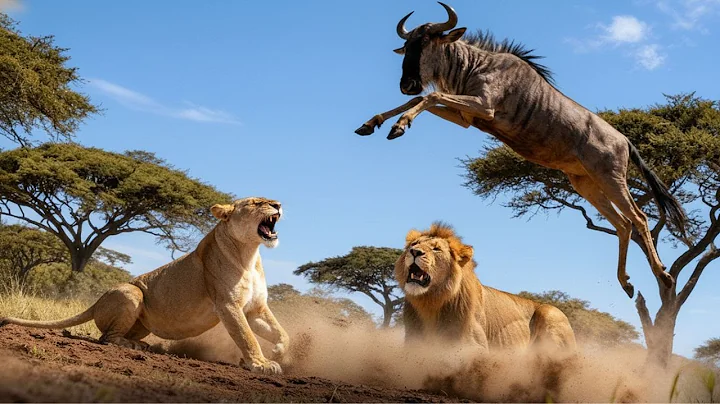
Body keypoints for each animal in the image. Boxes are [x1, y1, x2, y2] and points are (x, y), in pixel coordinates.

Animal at [0, 197, 289, 374]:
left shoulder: (255, 308)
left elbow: (280, 333)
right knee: (106, 338)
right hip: (132, 292)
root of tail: (96, 302)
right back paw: (134, 347)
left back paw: (141, 344)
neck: (250, 254)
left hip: (142, 321)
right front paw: (261, 364)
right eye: (256, 202)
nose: (278, 204)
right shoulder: (228, 305)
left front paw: (280, 353)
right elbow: (246, 336)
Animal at [397, 222, 576, 352]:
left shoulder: (475, 346)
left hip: (550, 313)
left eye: (436, 249)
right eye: (414, 244)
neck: (431, 302)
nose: (415, 251)